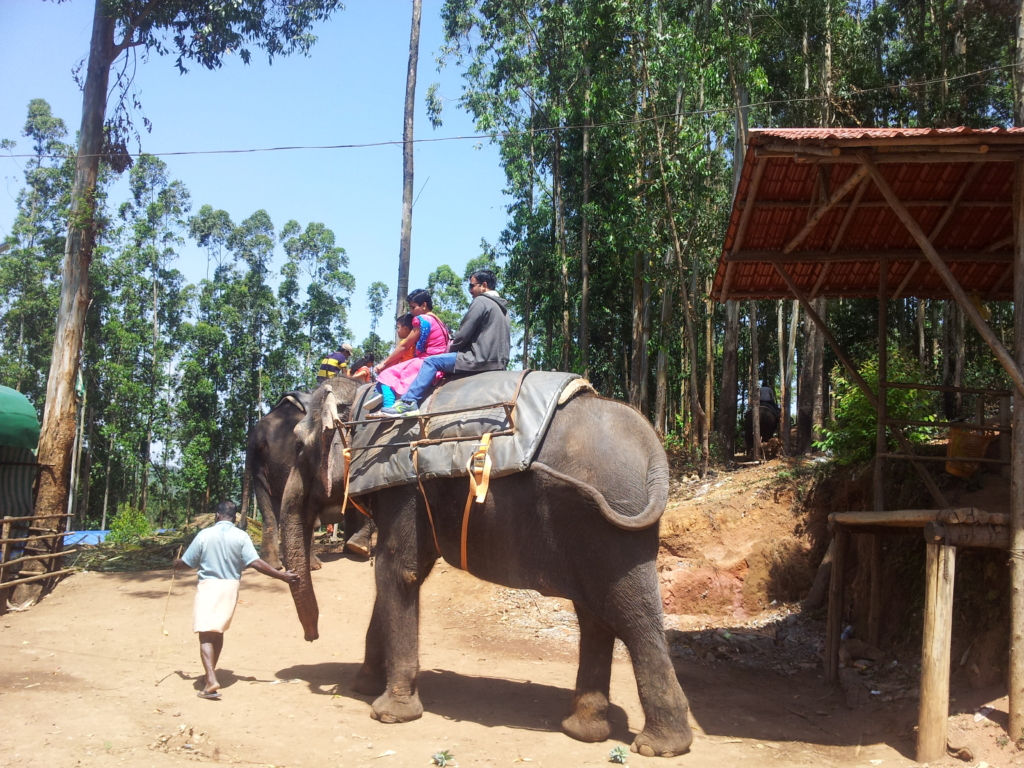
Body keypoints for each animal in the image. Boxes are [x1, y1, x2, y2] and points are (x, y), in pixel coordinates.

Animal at [240, 391, 376, 573]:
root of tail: (257, 434)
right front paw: (360, 549)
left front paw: (353, 549)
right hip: (289, 458)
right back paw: (314, 566)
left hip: (259, 466)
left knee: (269, 511)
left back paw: (273, 566)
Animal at [280, 374, 692, 757]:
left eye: (298, 446)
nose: (312, 636)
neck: (363, 400)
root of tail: (654, 451)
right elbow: (403, 574)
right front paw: (363, 686)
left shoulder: (403, 486)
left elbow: (396, 572)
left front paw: (387, 713)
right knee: (595, 615)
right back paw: (583, 730)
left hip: (615, 526)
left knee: (632, 616)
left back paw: (657, 746)